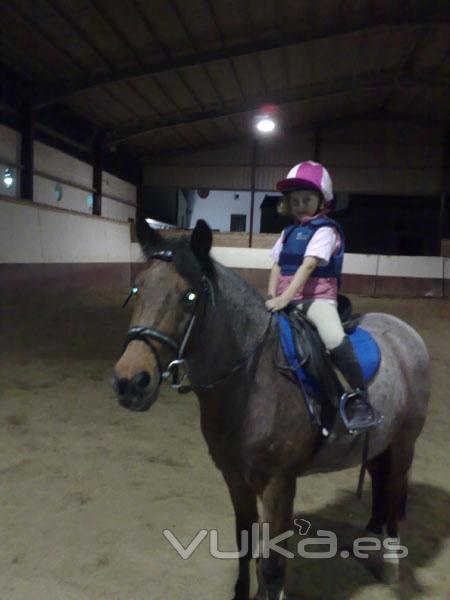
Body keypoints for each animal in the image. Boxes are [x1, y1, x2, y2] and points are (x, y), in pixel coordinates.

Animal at [111, 220, 428, 600]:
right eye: (137, 288)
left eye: (189, 296)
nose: (131, 382)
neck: (251, 378)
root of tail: (406, 332)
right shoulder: (234, 477)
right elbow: (246, 544)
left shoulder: (279, 484)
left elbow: (273, 567)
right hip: (382, 441)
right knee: (380, 481)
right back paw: (370, 539)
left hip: (405, 442)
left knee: (395, 490)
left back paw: (391, 562)